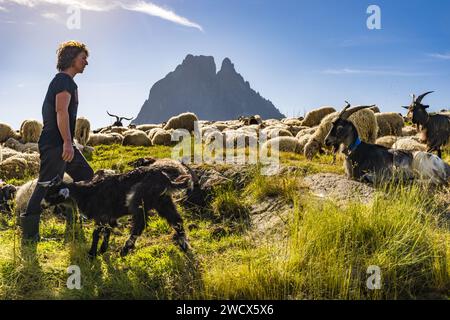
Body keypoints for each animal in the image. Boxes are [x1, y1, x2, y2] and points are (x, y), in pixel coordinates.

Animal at [38, 168, 192, 258]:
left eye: (53, 194)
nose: (42, 205)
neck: (86, 192)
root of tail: (167, 180)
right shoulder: (108, 216)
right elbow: (107, 231)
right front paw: (102, 249)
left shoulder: (101, 215)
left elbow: (96, 233)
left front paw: (92, 254)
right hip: (163, 201)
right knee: (177, 220)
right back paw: (184, 246)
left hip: (137, 200)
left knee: (139, 225)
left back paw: (125, 249)